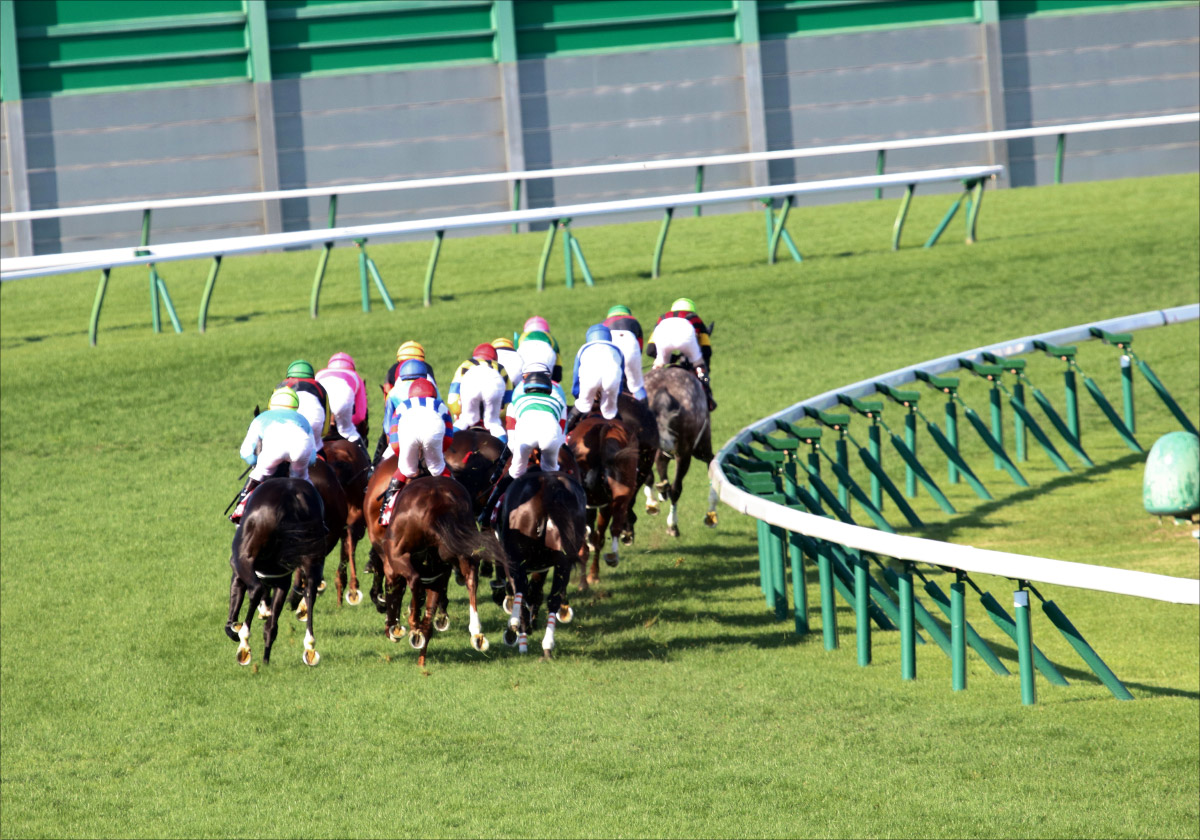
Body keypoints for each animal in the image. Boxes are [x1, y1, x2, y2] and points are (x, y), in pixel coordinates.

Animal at [225, 475, 326, 667]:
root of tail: (293, 497)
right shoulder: (281, 579)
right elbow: (271, 626)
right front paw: (266, 658)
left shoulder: (238, 568)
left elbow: (237, 599)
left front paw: (234, 630)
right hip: (312, 558)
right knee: (310, 591)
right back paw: (309, 647)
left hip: (244, 559)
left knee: (256, 590)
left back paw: (244, 643)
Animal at [374, 475, 506, 667]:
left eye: (387, 587)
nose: (390, 631)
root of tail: (440, 503)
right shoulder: (437, 579)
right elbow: (428, 622)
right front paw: (421, 660)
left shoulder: (398, 561)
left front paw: (414, 630)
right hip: (460, 549)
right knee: (471, 578)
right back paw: (476, 633)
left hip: (401, 555)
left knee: (414, 579)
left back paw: (414, 625)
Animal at [494, 465, 588, 657]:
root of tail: (549, 488)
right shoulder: (542, 566)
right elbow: (536, 594)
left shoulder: (514, 562)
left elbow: (522, 593)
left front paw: (519, 632)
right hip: (563, 560)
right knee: (553, 599)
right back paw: (547, 645)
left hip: (516, 559)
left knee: (521, 590)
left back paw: (515, 630)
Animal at [568, 412, 643, 583]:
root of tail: (605, 427)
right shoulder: (603, 503)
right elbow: (598, 536)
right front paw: (592, 574)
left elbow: (592, 537)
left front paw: (588, 578)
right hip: (623, 487)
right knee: (615, 522)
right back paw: (612, 556)